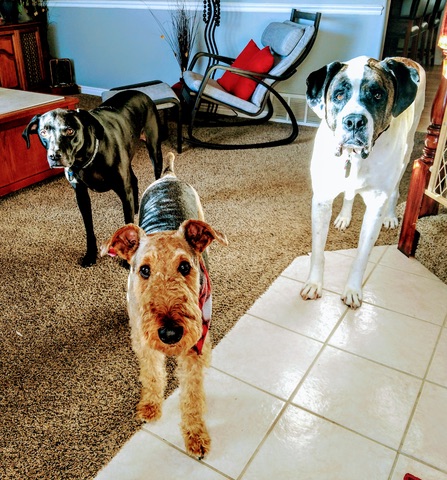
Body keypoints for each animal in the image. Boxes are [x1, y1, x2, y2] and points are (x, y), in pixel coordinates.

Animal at [22, 90, 163, 268]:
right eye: (43, 132)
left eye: (69, 131)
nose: (54, 156)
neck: (85, 161)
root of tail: (139, 91)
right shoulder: (81, 196)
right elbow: (89, 228)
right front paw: (90, 255)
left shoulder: (124, 191)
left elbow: (126, 222)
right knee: (134, 180)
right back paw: (136, 206)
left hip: (154, 150)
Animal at [300, 55, 428, 308]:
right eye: (339, 95)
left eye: (377, 95)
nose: (354, 121)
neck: (354, 157)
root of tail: (405, 59)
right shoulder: (321, 200)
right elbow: (318, 250)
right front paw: (314, 284)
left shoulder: (375, 206)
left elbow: (362, 255)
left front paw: (352, 290)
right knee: (350, 194)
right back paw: (344, 216)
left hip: (407, 152)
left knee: (396, 190)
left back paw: (391, 216)